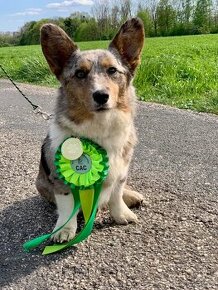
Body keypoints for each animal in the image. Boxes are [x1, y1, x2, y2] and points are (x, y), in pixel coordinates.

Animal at [35, 17, 145, 241]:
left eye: (112, 70)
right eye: (80, 73)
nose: (101, 96)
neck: (100, 127)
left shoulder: (121, 170)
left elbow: (116, 194)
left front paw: (121, 214)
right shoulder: (60, 181)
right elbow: (67, 207)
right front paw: (64, 230)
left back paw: (132, 196)